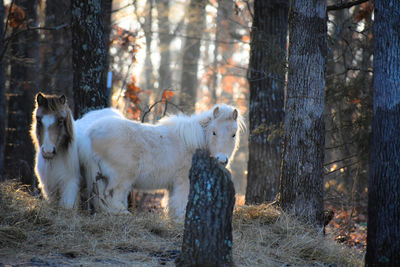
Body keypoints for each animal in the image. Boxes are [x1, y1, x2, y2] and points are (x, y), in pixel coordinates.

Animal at [80, 104, 245, 220]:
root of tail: (89, 133)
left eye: (233, 134)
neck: (192, 143)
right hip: (121, 178)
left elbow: (171, 203)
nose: (222, 160)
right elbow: (180, 201)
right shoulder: (183, 181)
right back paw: (122, 214)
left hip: (102, 177)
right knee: (111, 196)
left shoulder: (172, 185)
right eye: (214, 132)